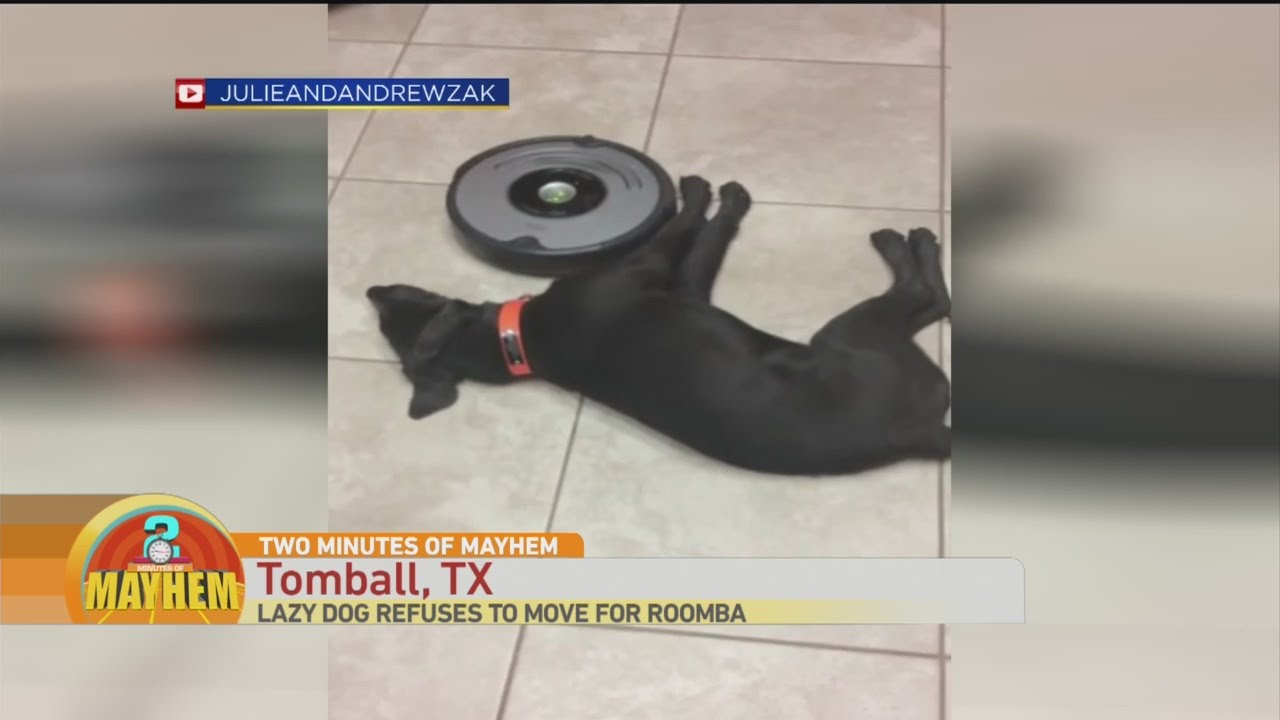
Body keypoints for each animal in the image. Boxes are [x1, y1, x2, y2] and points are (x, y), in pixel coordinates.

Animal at [367, 176, 951, 476]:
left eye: (396, 305)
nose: (374, 289)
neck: (519, 339)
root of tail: (917, 433)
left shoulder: (685, 289)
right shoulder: (658, 268)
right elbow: (695, 227)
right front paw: (712, 193)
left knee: (932, 306)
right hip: (851, 332)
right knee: (922, 297)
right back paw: (905, 241)